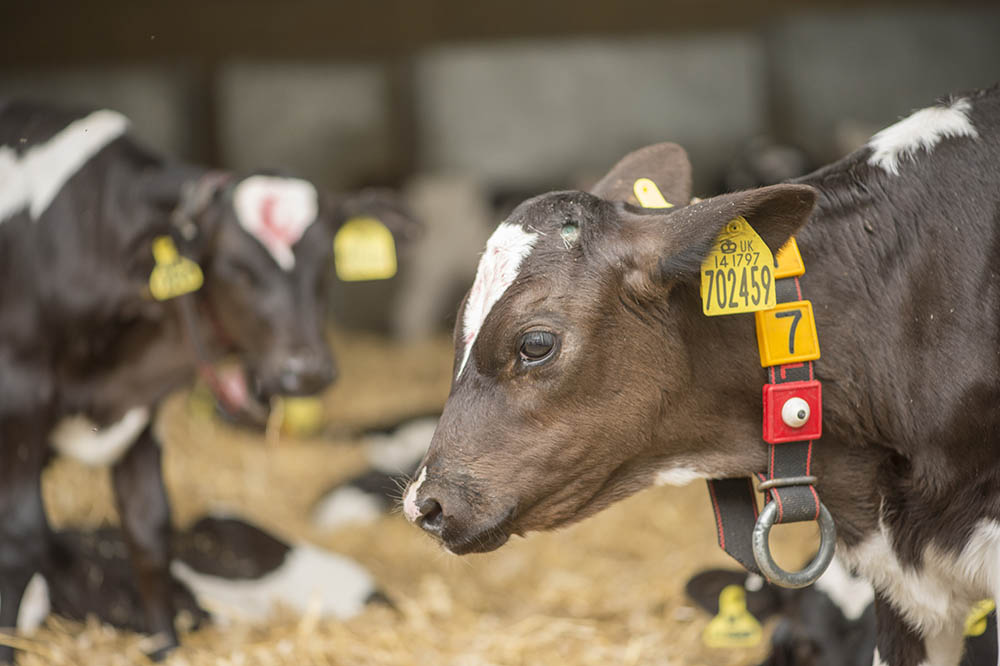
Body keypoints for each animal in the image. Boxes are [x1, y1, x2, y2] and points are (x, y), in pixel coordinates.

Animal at [0, 100, 410, 661]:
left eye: (327, 264)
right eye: (237, 268)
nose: (306, 371)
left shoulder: (140, 413)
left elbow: (149, 529)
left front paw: (165, 648)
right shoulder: (18, 400)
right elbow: (18, 539)